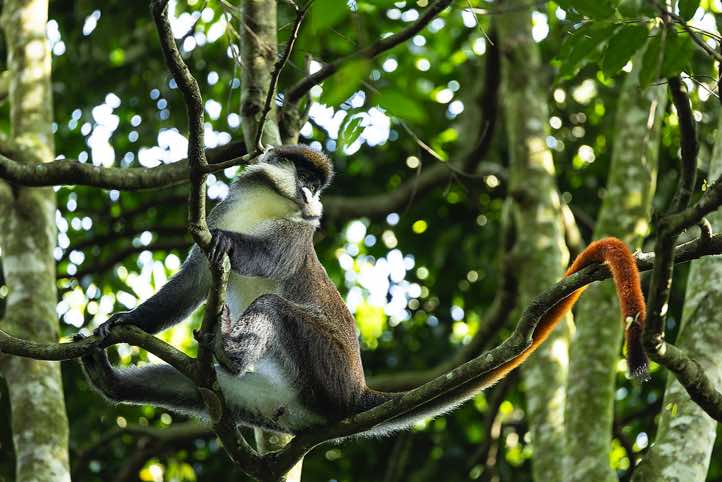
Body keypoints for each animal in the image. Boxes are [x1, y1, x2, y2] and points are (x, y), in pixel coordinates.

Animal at [79, 144, 648, 436]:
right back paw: (111, 382)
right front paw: (123, 322)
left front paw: (232, 245)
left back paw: (229, 349)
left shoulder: (300, 232)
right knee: (195, 385)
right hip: (259, 399)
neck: (265, 204)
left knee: (274, 309)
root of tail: (356, 391)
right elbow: (192, 283)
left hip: (325, 370)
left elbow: (271, 260)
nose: (312, 196)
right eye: (306, 178)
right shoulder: (227, 206)